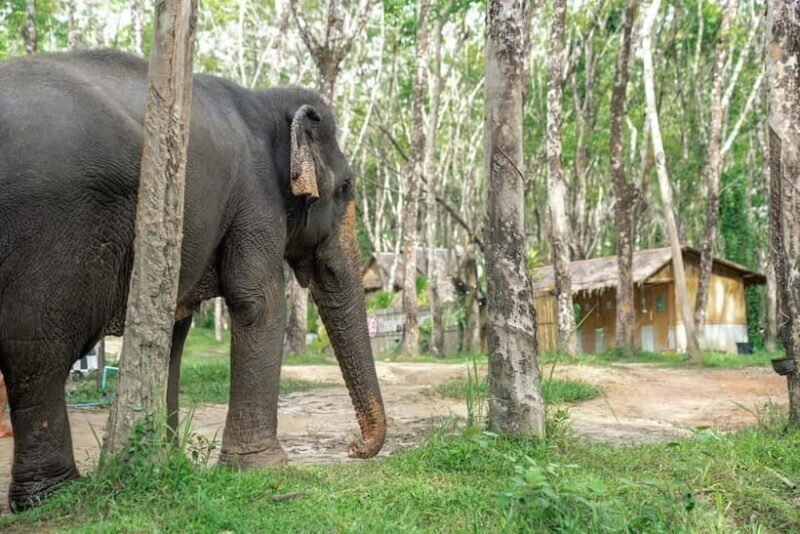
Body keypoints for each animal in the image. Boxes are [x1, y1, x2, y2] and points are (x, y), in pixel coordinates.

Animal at [0, 49, 386, 511]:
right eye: (345, 187)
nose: (354, 447)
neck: (263, 100)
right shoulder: (256, 198)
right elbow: (258, 302)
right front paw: (264, 467)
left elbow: (173, 326)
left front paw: (168, 459)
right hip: (50, 230)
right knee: (37, 353)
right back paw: (55, 495)